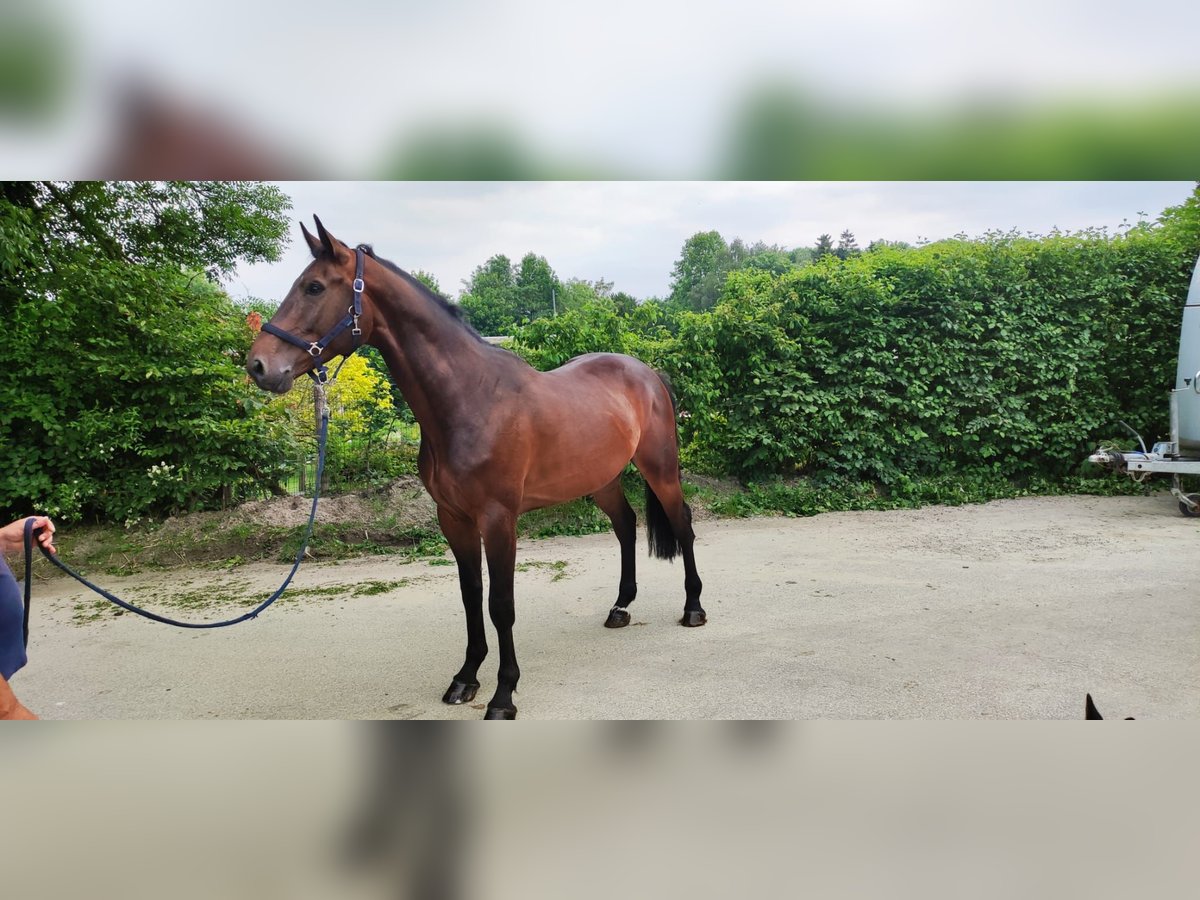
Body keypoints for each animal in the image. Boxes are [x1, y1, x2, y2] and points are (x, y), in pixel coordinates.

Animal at [246, 217, 700, 720]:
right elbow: (470, 597)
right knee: (625, 525)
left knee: (681, 523)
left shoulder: (498, 519)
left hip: (660, 469)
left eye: (313, 286)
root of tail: (647, 372)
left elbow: (500, 604)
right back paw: (621, 607)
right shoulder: (454, 518)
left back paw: (693, 608)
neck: (471, 398)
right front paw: (465, 678)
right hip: (601, 479)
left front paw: (504, 695)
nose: (258, 365)